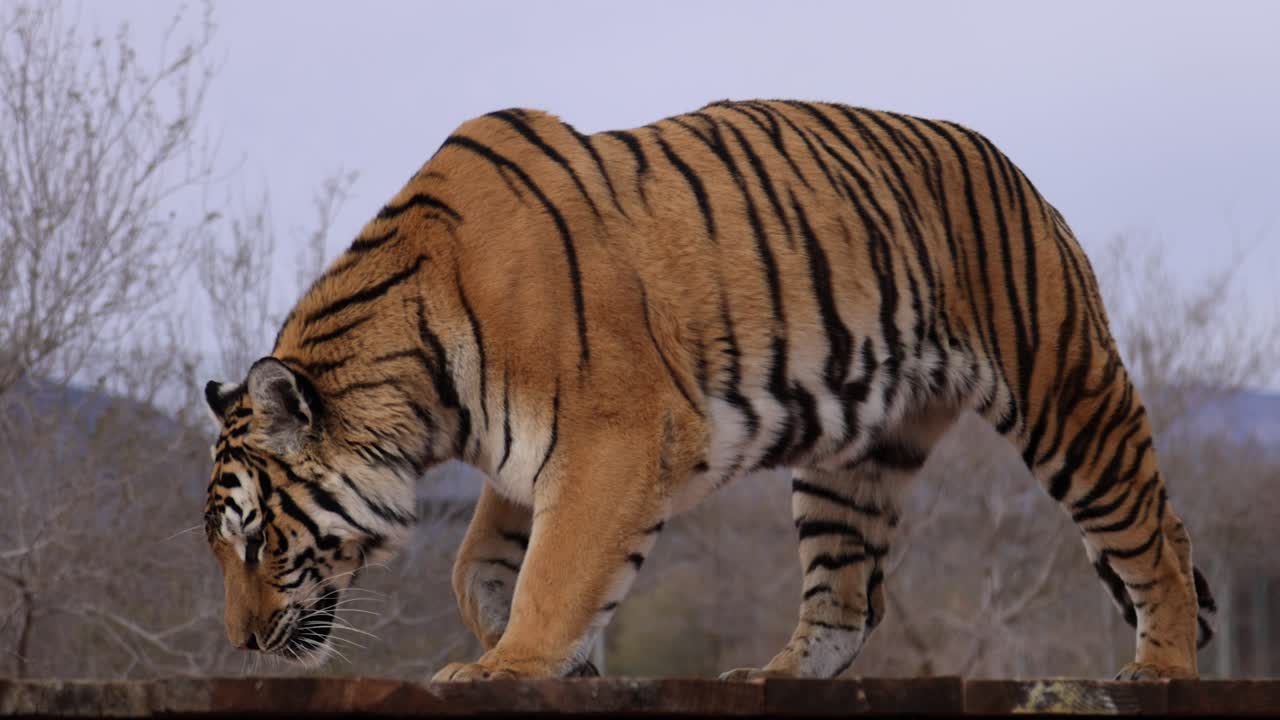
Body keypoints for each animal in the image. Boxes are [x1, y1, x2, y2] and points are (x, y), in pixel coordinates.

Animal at [202, 99, 1217, 681]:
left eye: (256, 540)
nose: (241, 644)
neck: (425, 399)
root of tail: (1014, 168)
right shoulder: (532, 448)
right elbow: (485, 557)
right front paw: (514, 636)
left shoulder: (617, 433)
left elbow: (559, 568)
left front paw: (510, 663)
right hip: (855, 461)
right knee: (848, 599)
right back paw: (777, 676)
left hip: (1065, 391)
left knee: (1153, 532)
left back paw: (1161, 668)